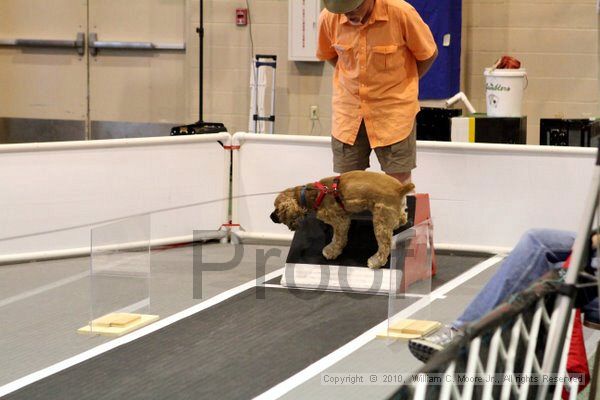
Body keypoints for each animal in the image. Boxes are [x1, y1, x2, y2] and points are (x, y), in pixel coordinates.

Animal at [270, 171, 414, 268]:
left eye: (277, 209)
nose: (271, 217)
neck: (314, 194)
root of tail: (400, 188)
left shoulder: (340, 221)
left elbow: (338, 239)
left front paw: (331, 251)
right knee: (403, 217)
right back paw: (398, 223)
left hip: (380, 221)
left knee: (384, 246)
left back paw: (375, 261)